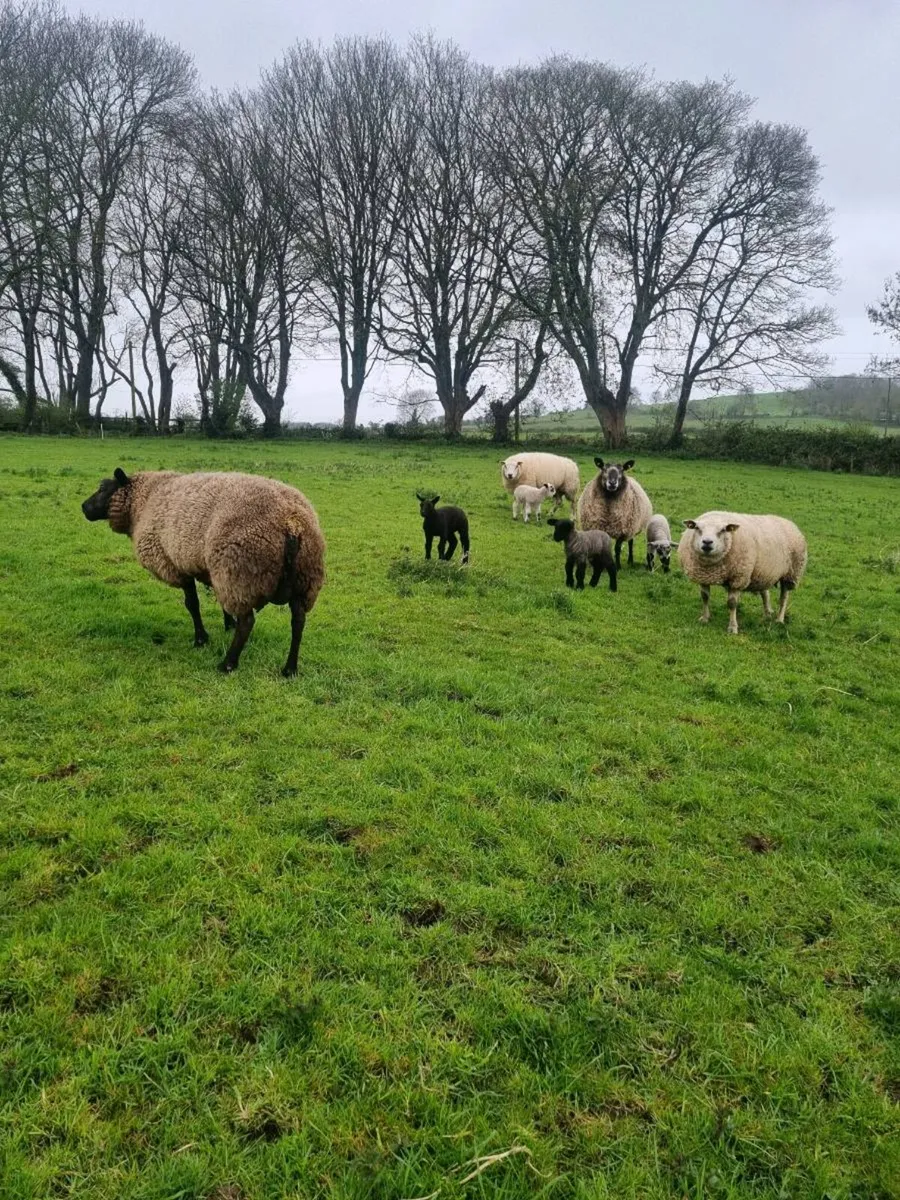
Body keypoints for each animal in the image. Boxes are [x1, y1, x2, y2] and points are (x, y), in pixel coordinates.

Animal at [81, 467, 326, 675]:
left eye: (103, 488)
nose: (83, 507)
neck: (145, 500)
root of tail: (291, 523)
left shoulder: (177, 565)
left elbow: (192, 604)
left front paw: (201, 639)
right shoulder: (211, 569)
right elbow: (219, 602)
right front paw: (227, 624)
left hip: (241, 572)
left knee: (248, 622)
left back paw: (228, 664)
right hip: (302, 580)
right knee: (298, 621)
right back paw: (290, 669)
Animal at [677, 510, 808, 634]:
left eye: (723, 530)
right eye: (697, 528)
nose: (707, 542)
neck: (712, 568)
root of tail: (790, 523)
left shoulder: (738, 578)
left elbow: (732, 603)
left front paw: (733, 627)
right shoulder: (703, 576)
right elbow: (704, 597)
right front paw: (705, 618)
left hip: (790, 574)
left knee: (783, 598)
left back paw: (779, 620)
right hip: (762, 573)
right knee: (765, 594)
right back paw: (767, 614)